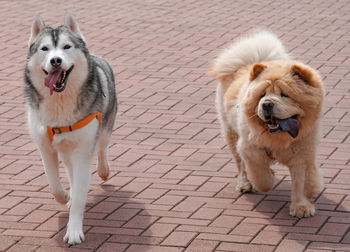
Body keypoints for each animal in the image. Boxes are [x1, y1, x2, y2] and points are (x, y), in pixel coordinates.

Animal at [25, 11, 117, 244]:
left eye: (66, 47)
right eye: (45, 49)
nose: (55, 61)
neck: (60, 101)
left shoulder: (83, 149)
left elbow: (79, 194)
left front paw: (74, 230)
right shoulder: (45, 148)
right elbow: (53, 185)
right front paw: (65, 196)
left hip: (103, 129)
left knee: (102, 149)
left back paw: (103, 171)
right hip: (66, 150)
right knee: (70, 171)